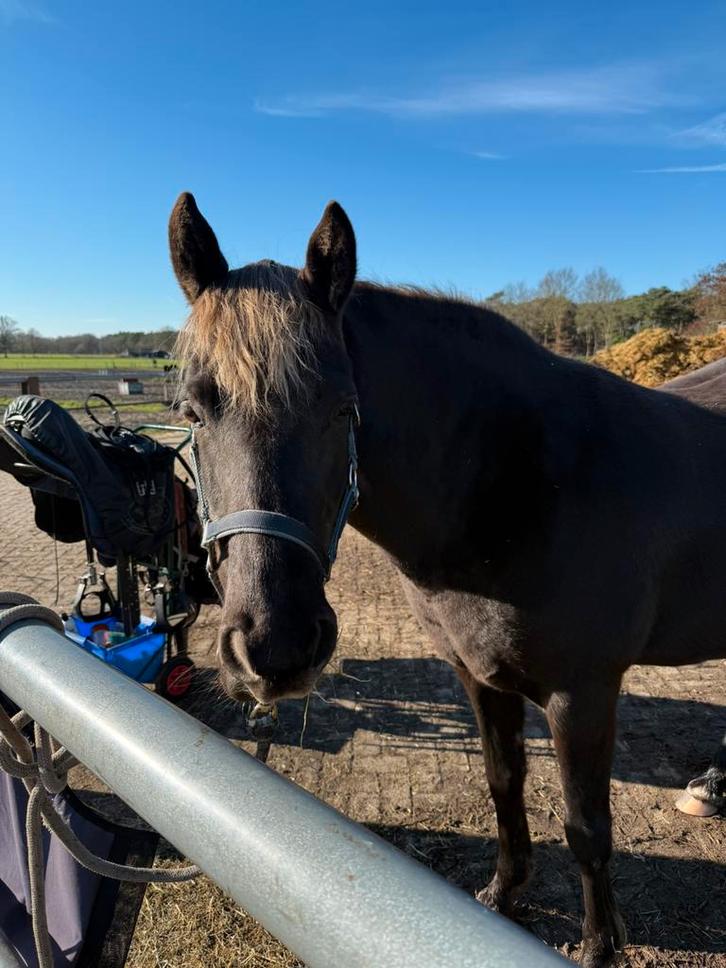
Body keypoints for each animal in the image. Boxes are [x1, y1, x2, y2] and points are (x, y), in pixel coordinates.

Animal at [169, 192, 726, 968]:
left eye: (344, 407)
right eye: (191, 411)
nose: (276, 649)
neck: (521, 485)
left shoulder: (582, 693)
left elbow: (587, 827)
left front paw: (597, 947)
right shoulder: (478, 676)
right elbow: (502, 784)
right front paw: (502, 896)